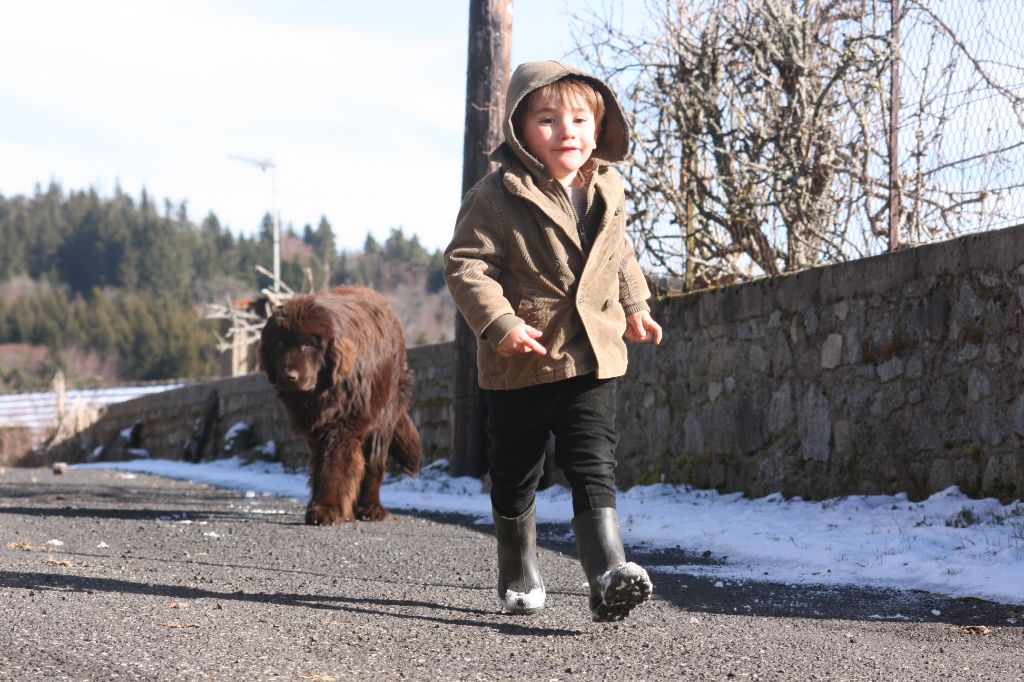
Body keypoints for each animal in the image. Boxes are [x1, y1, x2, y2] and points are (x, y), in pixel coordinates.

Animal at [260, 284, 419, 522]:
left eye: (307, 345)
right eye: (279, 344)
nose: (289, 377)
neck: (321, 392)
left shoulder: (343, 424)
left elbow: (335, 465)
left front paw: (326, 508)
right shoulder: (316, 429)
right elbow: (320, 467)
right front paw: (319, 505)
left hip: (383, 414)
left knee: (374, 461)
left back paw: (370, 508)